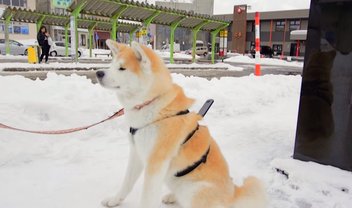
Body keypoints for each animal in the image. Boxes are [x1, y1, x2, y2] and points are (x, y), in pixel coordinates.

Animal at [95, 39, 266, 208]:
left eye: (122, 68)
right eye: (111, 65)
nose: (98, 73)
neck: (152, 105)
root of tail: (233, 194)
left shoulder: (156, 162)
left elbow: (147, 198)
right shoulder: (137, 153)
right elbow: (127, 184)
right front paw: (115, 200)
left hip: (194, 189)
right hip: (173, 179)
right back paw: (172, 196)